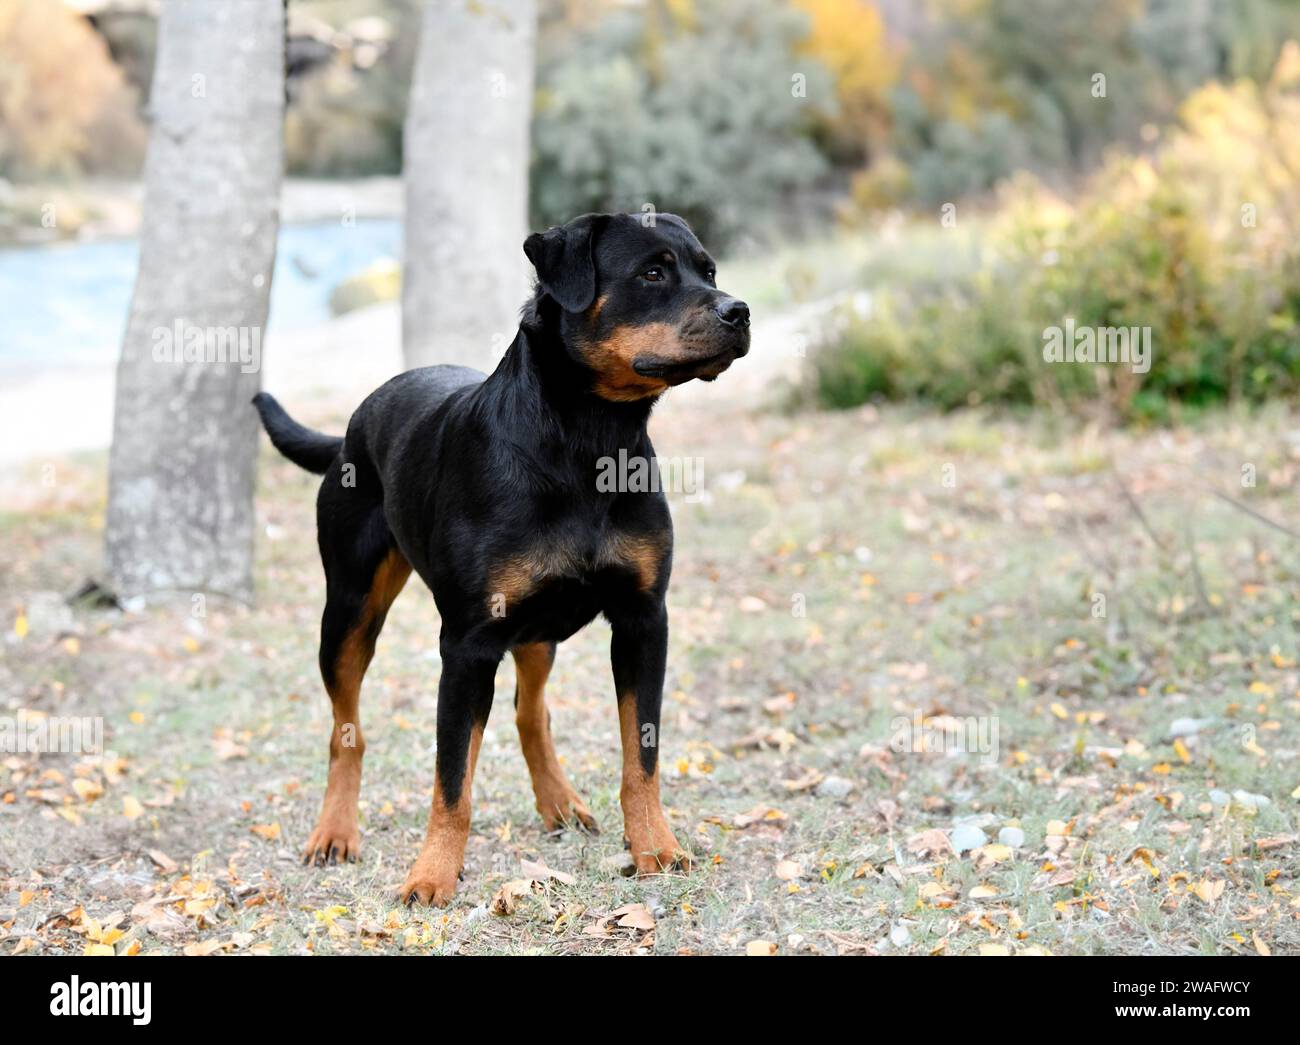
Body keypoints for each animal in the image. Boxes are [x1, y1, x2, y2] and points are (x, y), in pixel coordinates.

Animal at [250, 210, 754, 904]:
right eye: (652, 273)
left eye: (709, 270)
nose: (740, 310)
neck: (587, 441)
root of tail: (353, 422)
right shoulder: (469, 643)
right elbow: (452, 780)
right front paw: (432, 876)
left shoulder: (643, 619)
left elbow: (641, 756)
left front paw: (656, 846)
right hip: (348, 611)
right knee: (345, 729)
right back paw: (335, 832)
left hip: (535, 629)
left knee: (530, 713)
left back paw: (559, 802)